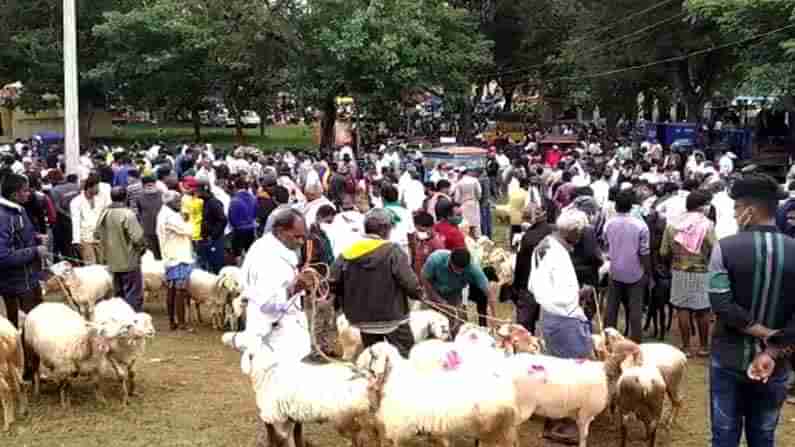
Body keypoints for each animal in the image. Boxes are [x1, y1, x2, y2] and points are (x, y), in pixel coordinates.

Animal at [221, 330, 374, 447]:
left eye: (243, 338)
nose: (226, 336)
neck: (268, 371)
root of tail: (364, 376)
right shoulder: (289, 418)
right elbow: (291, 439)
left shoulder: (274, 415)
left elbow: (275, 437)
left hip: (349, 418)